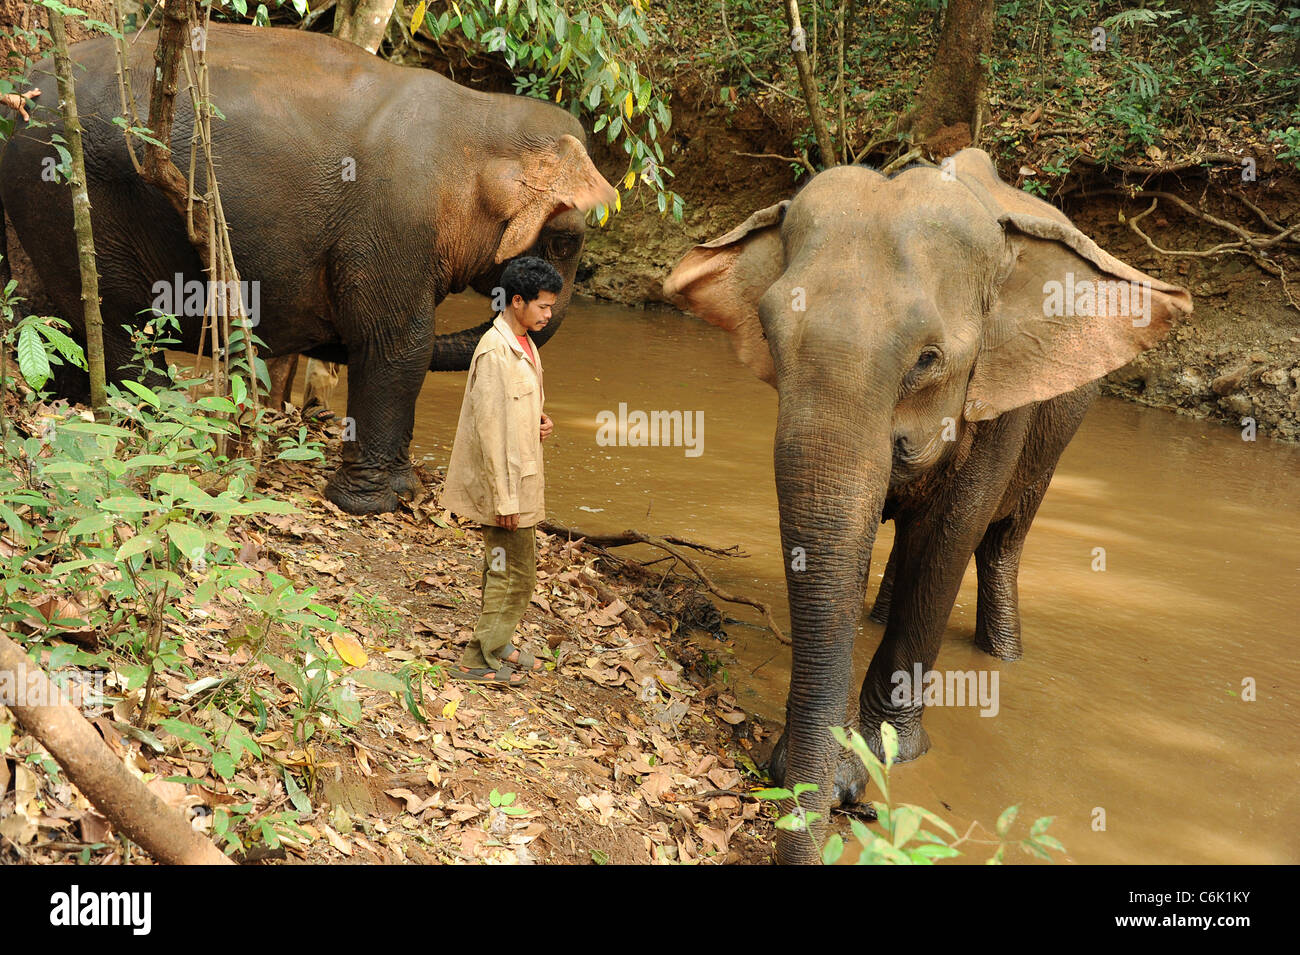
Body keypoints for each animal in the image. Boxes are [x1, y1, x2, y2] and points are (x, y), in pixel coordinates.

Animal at [0, 22, 616, 514]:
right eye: (565, 242)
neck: (480, 116)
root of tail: (23, 84)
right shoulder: (394, 218)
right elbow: (395, 342)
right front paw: (375, 504)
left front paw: (403, 490)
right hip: (68, 192)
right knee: (118, 319)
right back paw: (162, 421)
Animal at [665, 149, 1190, 867]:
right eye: (770, 335)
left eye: (928, 358)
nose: (839, 802)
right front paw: (832, 762)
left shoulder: (1001, 399)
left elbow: (949, 535)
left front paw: (885, 755)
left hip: (1058, 430)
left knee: (1001, 541)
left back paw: (1003, 656)